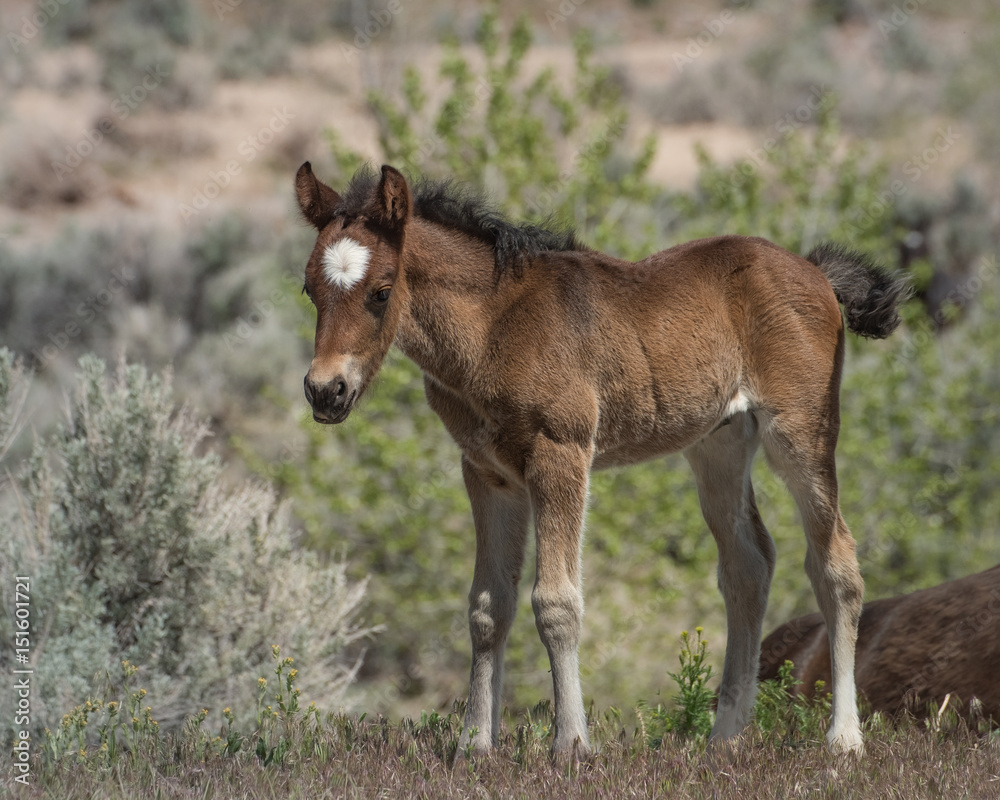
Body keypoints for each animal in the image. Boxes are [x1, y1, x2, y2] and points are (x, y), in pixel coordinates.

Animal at [293, 161, 909, 761]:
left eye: (380, 291)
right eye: (307, 288)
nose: (326, 391)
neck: (493, 328)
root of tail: (815, 272)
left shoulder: (561, 453)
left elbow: (556, 603)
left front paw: (571, 745)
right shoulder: (487, 472)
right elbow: (488, 607)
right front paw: (474, 746)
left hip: (801, 431)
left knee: (835, 564)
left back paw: (844, 739)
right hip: (719, 443)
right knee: (748, 565)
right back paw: (724, 741)